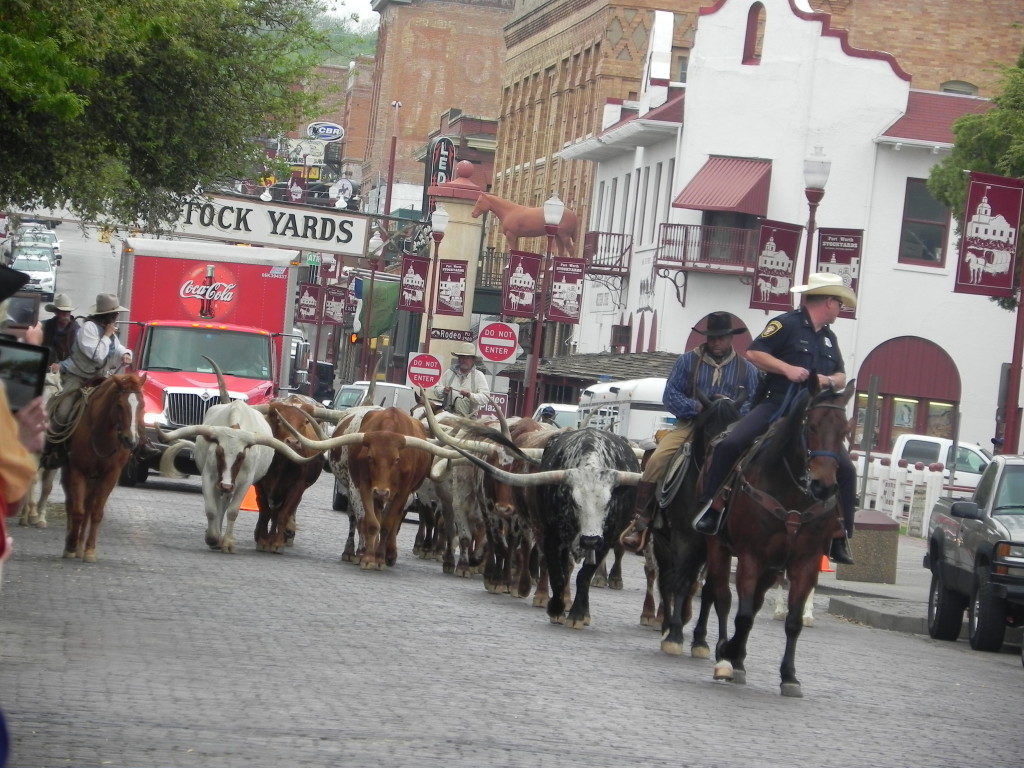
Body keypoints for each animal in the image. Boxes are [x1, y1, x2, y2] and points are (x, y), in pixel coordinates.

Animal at [60, 376, 146, 561]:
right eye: (119, 405)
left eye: (142, 405)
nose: (131, 440)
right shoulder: (78, 471)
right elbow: (77, 511)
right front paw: (70, 546)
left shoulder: (110, 476)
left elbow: (96, 512)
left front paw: (89, 550)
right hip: (70, 473)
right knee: (71, 504)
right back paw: (72, 542)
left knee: (88, 506)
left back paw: (80, 546)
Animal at [704, 382, 856, 700]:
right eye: (811, 425)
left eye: (844, 432)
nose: (824, 486)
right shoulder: (751, 557)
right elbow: (743, 615)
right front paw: (730, 654)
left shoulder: (805, 563)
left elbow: (793, 621)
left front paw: (789, 676)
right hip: (718, 547)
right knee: (723, 598)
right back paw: (725, 655)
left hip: (773, 567)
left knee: (755, 601)